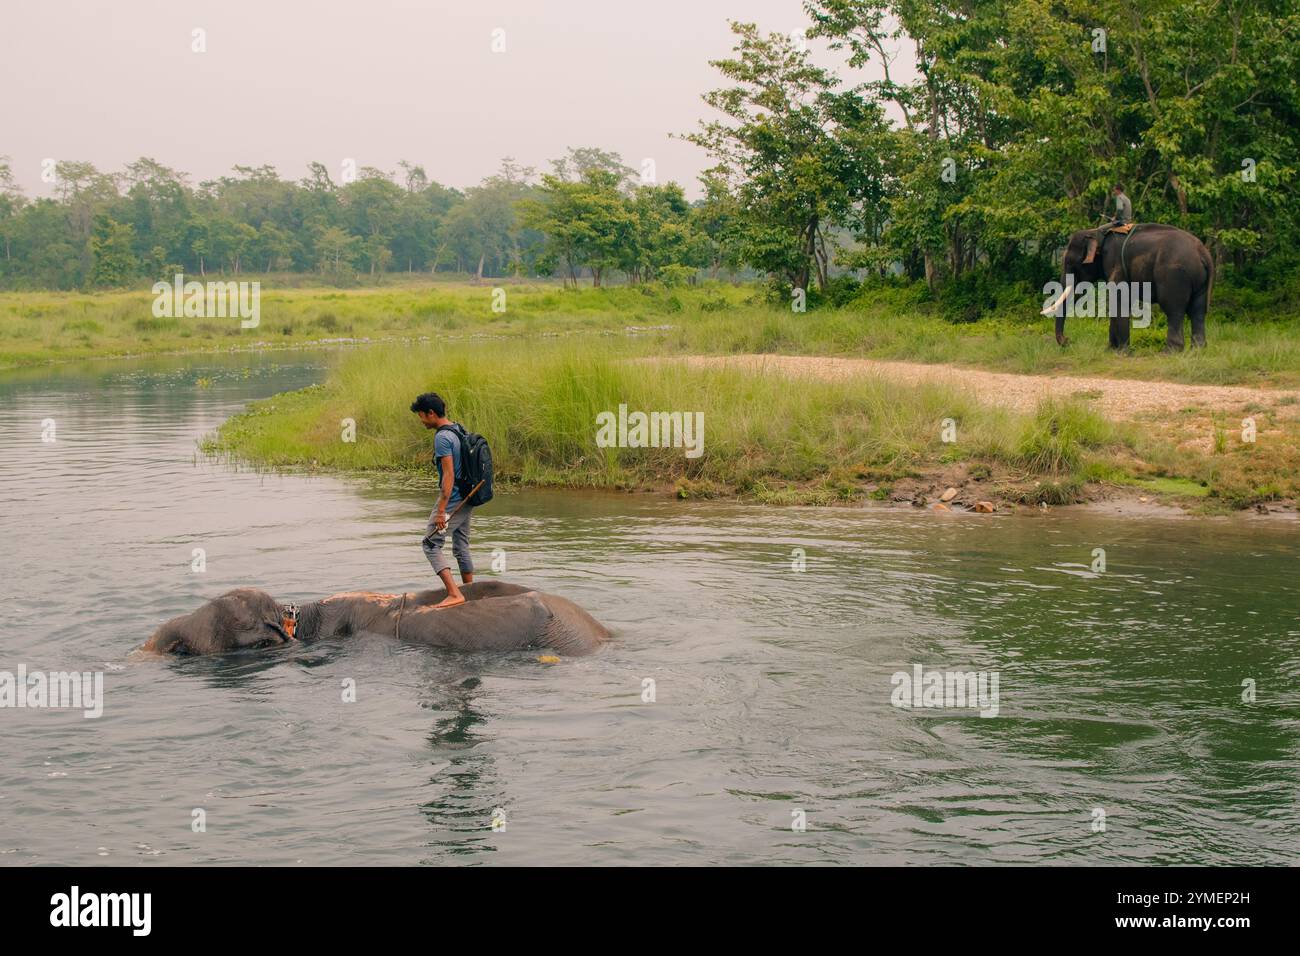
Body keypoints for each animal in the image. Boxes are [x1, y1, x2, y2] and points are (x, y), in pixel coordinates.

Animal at [1040, 223, 1211, 351]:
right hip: (1199, 279)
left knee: (1174, 309)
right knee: (1198, 310)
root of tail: (1203, 253)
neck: (1096, 232)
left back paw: (1169, 352)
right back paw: (1197, 351)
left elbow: (1119, 298)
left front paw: (1122, 352)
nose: (1068, 341)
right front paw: (1110, 350)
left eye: (1070, 263)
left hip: (1174, 276)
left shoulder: (1114, 261)